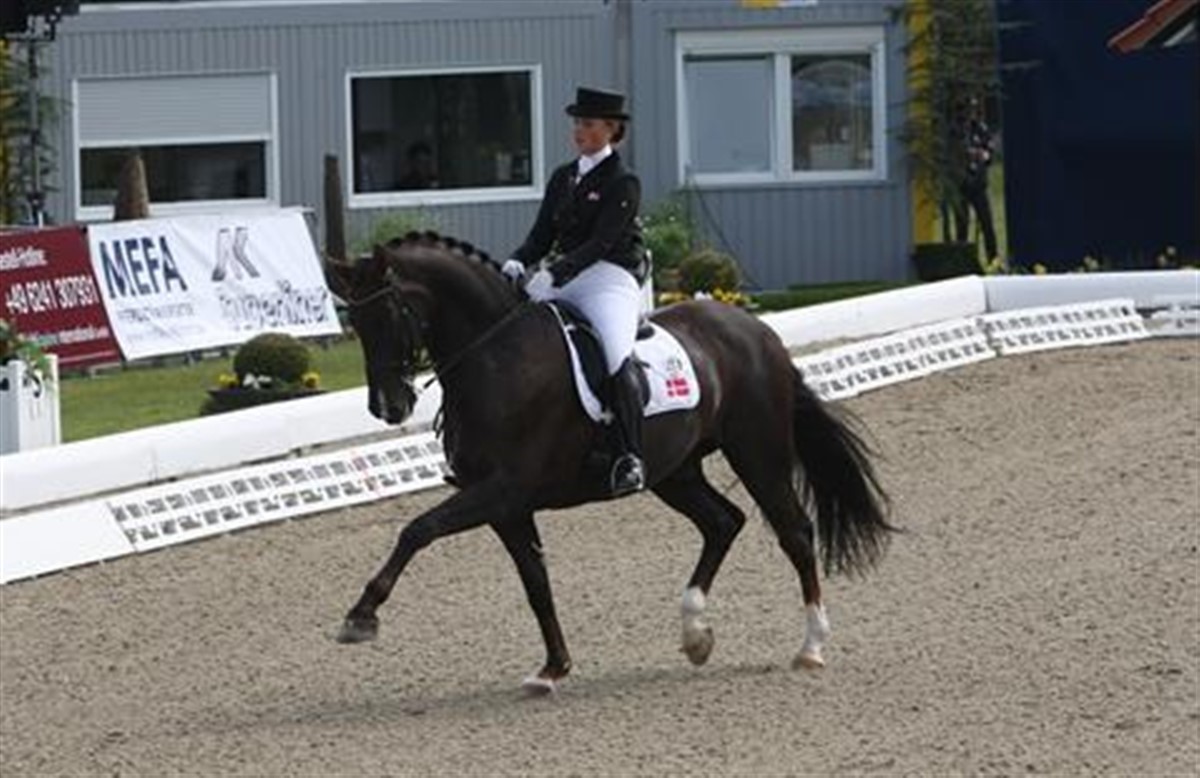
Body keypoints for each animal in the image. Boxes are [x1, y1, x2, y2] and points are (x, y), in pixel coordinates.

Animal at [324, 231, 893, 694]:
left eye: (391, 314)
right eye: (356, 323)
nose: (388, 407)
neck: (496, 357)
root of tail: (758, 331)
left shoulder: (501, 490)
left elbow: (417, 530)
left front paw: (360, 617)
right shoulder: (507, 507)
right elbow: (536, 583)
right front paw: (552, 669)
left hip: (758, 452)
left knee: (794, 531)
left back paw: (811, 647)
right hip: (675, 471)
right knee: (723, 522)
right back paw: (696, 635)